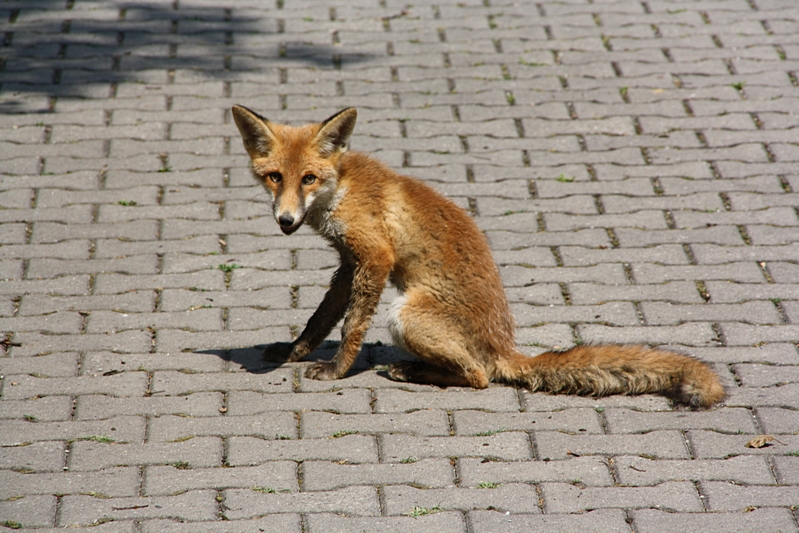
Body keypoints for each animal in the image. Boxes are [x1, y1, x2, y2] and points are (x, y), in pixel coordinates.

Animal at [230, 106, 724, 410]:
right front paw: (294, 352)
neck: (343, 189)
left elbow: (351, 327)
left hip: (405, 314)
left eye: (308, 178)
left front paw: (336, 370)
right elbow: (320, 319)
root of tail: (504, 346)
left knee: (480, 375)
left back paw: (412, 371)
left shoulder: (375, 256)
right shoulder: (348, 263)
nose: (286, 220)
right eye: (274, 177)